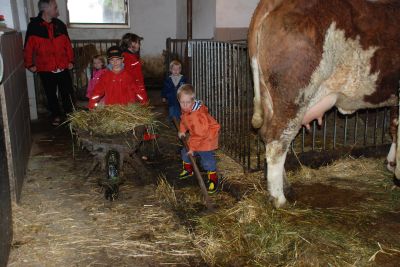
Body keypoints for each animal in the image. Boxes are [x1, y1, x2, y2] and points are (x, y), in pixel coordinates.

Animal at [248, 0, 398, 207]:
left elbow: (394, 128)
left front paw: (392, 164)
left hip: (269, 96)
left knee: (266, 135)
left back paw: (285, 188)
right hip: (294, 95)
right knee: (277, 142)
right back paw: (279, 198)